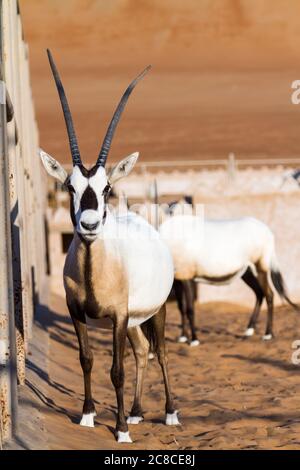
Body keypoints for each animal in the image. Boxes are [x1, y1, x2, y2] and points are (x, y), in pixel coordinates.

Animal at [40, 51, 179, 444]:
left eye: (105, 188)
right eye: (69, 187)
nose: (88, 225)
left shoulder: (117, 315)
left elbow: (116, 370)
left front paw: (119, 431)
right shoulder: (76, 311)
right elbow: (86, 358)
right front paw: (88, 416)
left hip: (156, 309)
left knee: (161, 352)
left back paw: (168, 413)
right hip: (134, 321)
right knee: (143, 350)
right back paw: (135, 411)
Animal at [159, 215, 298, 344]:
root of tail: (267, 231)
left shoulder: (187, 277)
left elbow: (190, 309)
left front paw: (194, 340)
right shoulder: (177, 280)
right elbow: (181, 307)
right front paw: (183, 337)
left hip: (260, 268)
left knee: (269, 294)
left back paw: (268, 334)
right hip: (247, 272)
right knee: (259, 293)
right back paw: (249, 331)